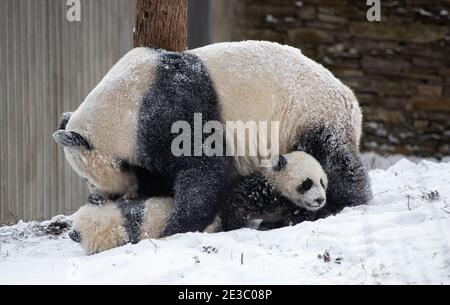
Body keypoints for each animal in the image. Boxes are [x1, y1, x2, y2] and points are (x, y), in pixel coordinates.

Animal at [52, 40, 370, 235]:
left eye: (86, 177)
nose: (100, 196)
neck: (124, 108)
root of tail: (350, 98)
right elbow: (156, 177)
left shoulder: (173, 110)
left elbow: (203, 169)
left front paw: (176, 227)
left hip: (311, 113)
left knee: (334, 161)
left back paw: (340, 203)